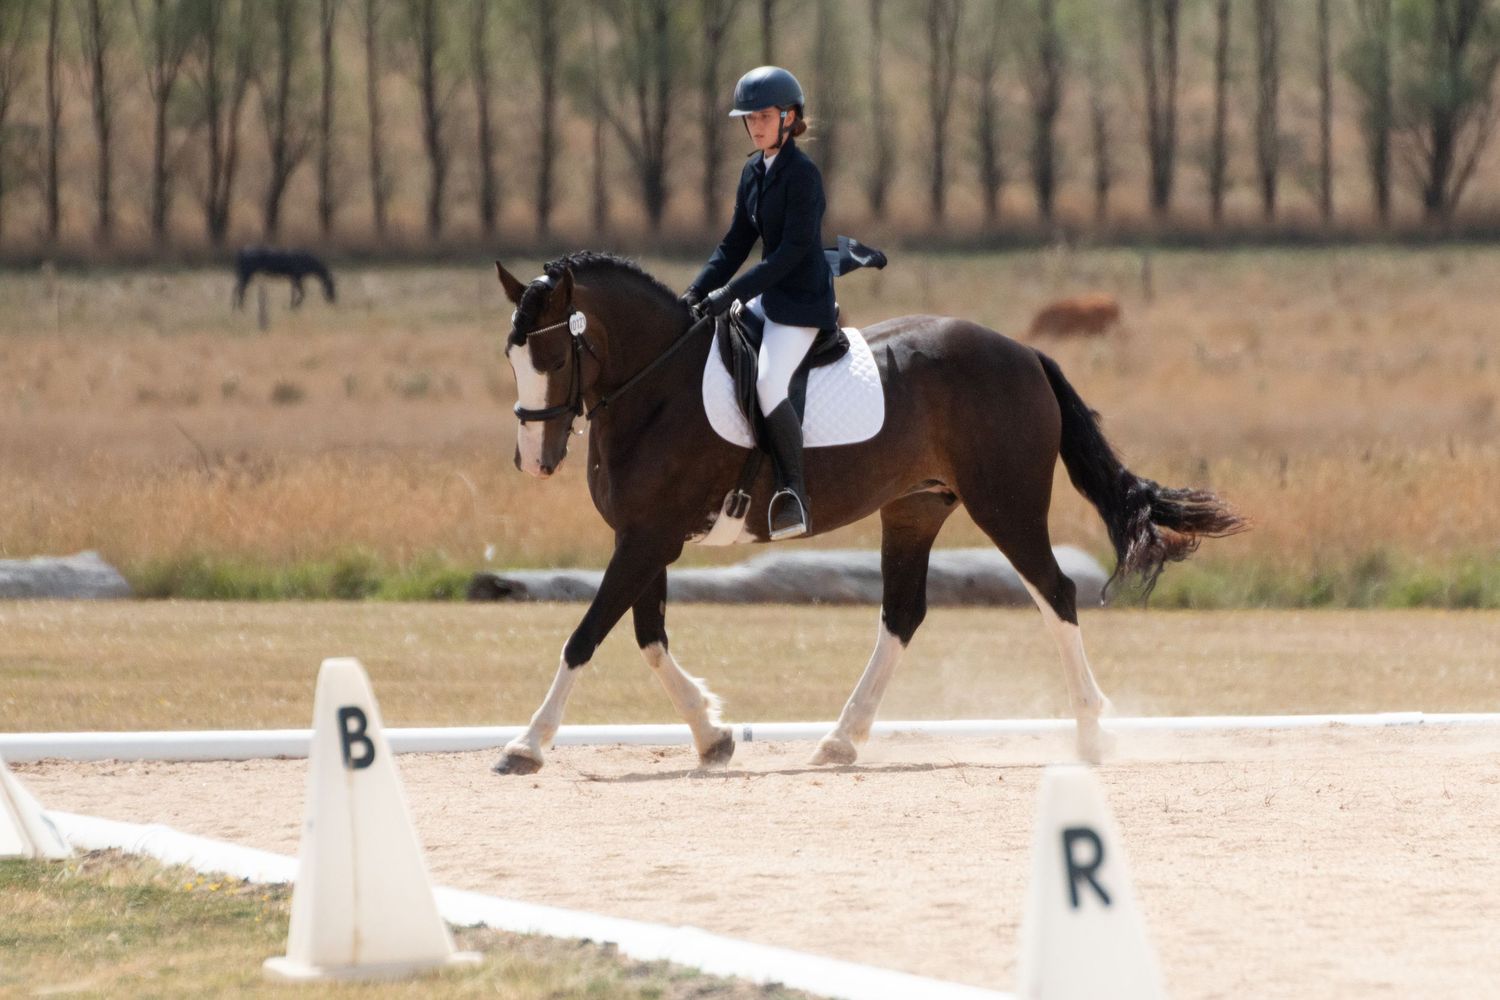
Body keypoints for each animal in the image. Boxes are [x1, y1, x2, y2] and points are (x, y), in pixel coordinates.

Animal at [492, 251, 1245, 775]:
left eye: (553, 353)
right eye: (511, 355)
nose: (533, 459)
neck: (657, 389)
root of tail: (1024, 352)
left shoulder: (649, 539)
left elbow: (586, 636)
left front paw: (526, 745)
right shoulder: (646, 536)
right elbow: (648, 639)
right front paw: (713, 736)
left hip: (1006, 504)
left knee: (1055, 592)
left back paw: (1090, 733)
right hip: (914, 510)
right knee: (902, 615)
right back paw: (840, 740)